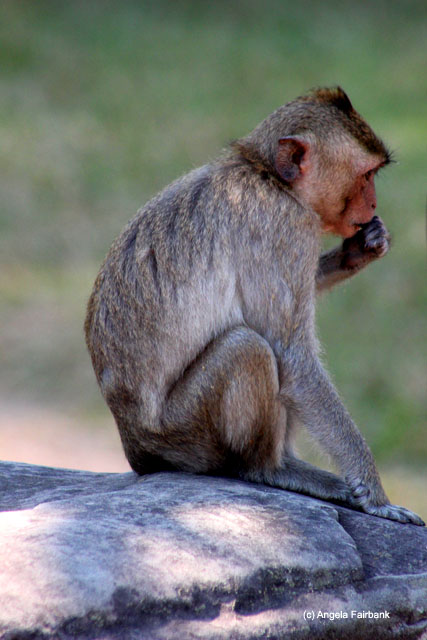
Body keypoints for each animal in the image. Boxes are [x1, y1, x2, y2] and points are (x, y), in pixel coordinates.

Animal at [85, 87, 424, 526]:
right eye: (366, 176)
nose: (373, 204)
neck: (268, 175)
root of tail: (135, 449)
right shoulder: (285, 226)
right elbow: (292, 358)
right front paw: (377, 496)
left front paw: (358, 252)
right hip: (184, 433)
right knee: (249, 348)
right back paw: (271, 468)